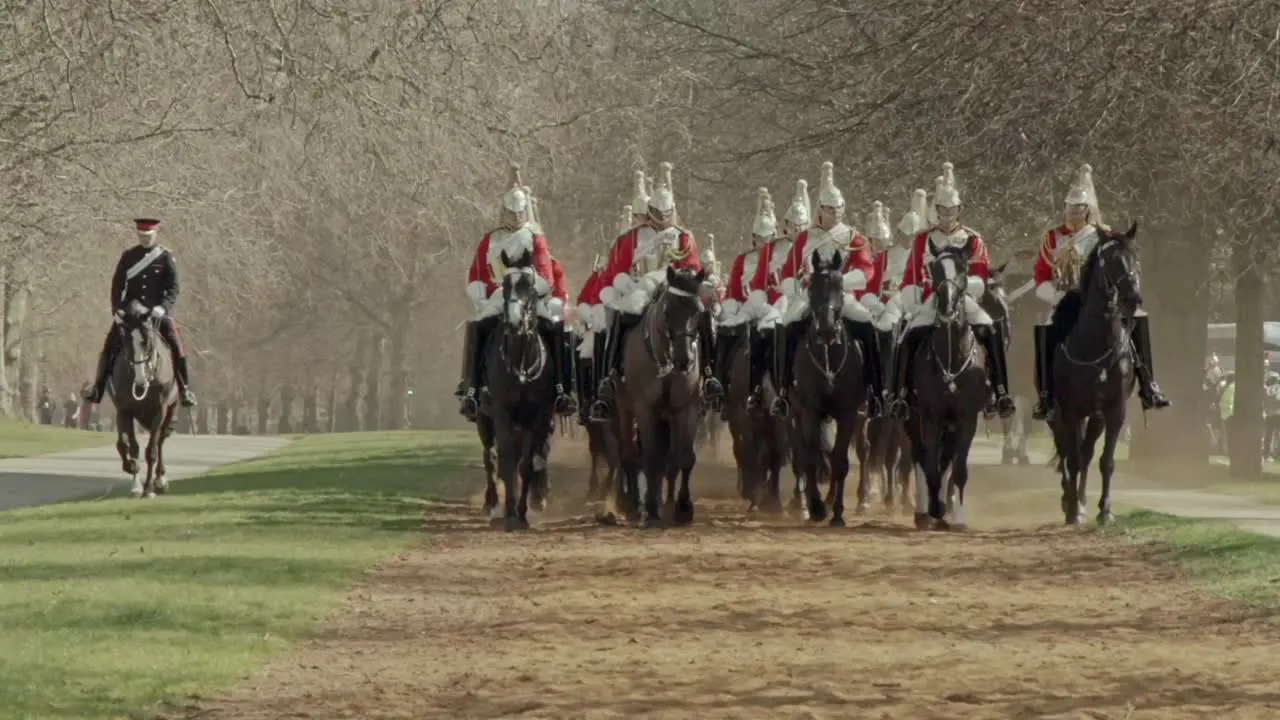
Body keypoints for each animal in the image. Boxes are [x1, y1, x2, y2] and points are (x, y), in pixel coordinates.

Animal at [1049, 221, 1141, 525]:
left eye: (1135, 257)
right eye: (1111, 260)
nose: (1133, 298)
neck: (1096, 345)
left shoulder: (1114, 410)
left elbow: (1105, 461)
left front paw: (1105, 510)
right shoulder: (1070, 410)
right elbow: (1073, 458)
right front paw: (1073, 509)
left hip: (1095, 416)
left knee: (1085, 452)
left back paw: (1081, 500)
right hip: (1058, 415)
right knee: (1067, 451)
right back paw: (1070, 501)